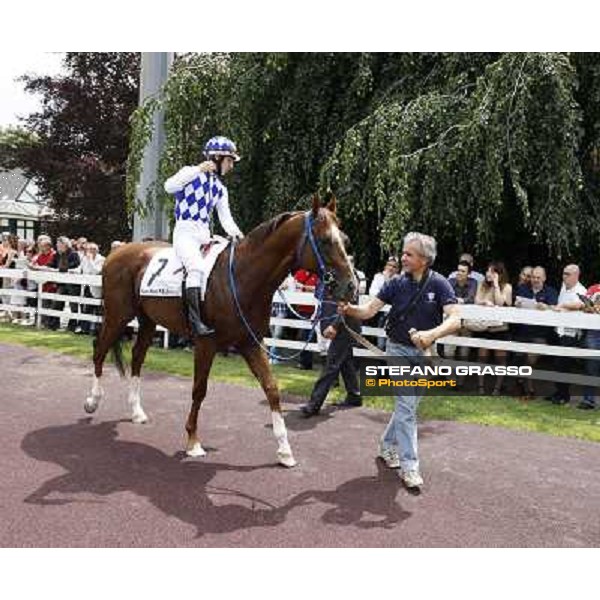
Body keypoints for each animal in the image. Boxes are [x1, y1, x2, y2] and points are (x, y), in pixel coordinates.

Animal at [84, 195, 356, 466]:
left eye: (345, 240)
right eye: (325, 240)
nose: (352, 286)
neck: (240, 278)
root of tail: (118, 251)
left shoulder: (250, 343)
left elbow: (271, 388)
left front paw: (284, 450)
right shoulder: (206, 344)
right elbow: (199, 390)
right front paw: (193, 442)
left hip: (148, 321)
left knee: (137, 357)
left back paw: (137, 411)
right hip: (118, 316)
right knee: (99, 350)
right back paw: (92, 401)